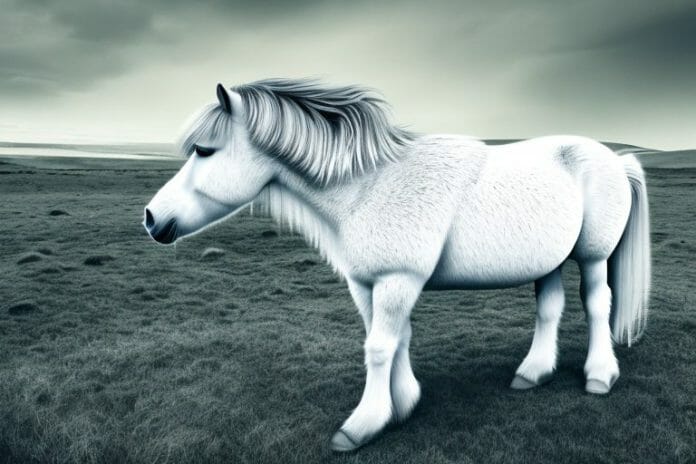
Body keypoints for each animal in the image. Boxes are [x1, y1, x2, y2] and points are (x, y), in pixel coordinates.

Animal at [144, 78, 651, 452]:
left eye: (205, 150)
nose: (151, 218)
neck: (369, 186)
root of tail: (614, 157)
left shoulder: (397, 280)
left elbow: (379, 347)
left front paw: (363, 424)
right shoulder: (367, 283)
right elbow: (394, 338)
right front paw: (403, 404)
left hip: (593, 256)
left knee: (597, 305)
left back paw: (599, 375)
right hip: (548, 260)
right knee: (549, 308)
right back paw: (533, 373)